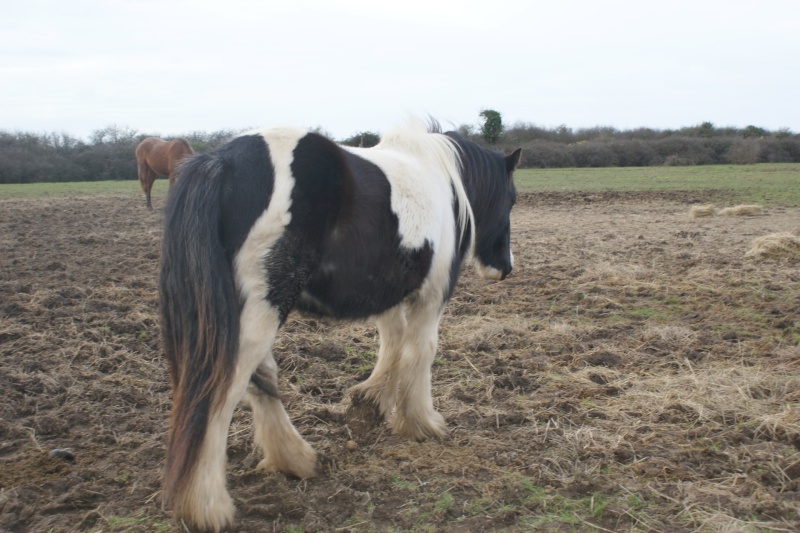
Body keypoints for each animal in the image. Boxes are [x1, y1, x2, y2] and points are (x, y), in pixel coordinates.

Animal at [159, 118, 520, 528]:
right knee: (225, 387)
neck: (444, 179)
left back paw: (295, 459)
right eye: (511, 199)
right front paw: (422, 422)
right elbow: (421, 351)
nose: (505, 267)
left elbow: (392, 341)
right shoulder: (431, 295)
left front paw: (370, 400)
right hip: (262, 309)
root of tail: (222, 161)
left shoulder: (387, 292)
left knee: (260, 378)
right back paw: (207, 505)